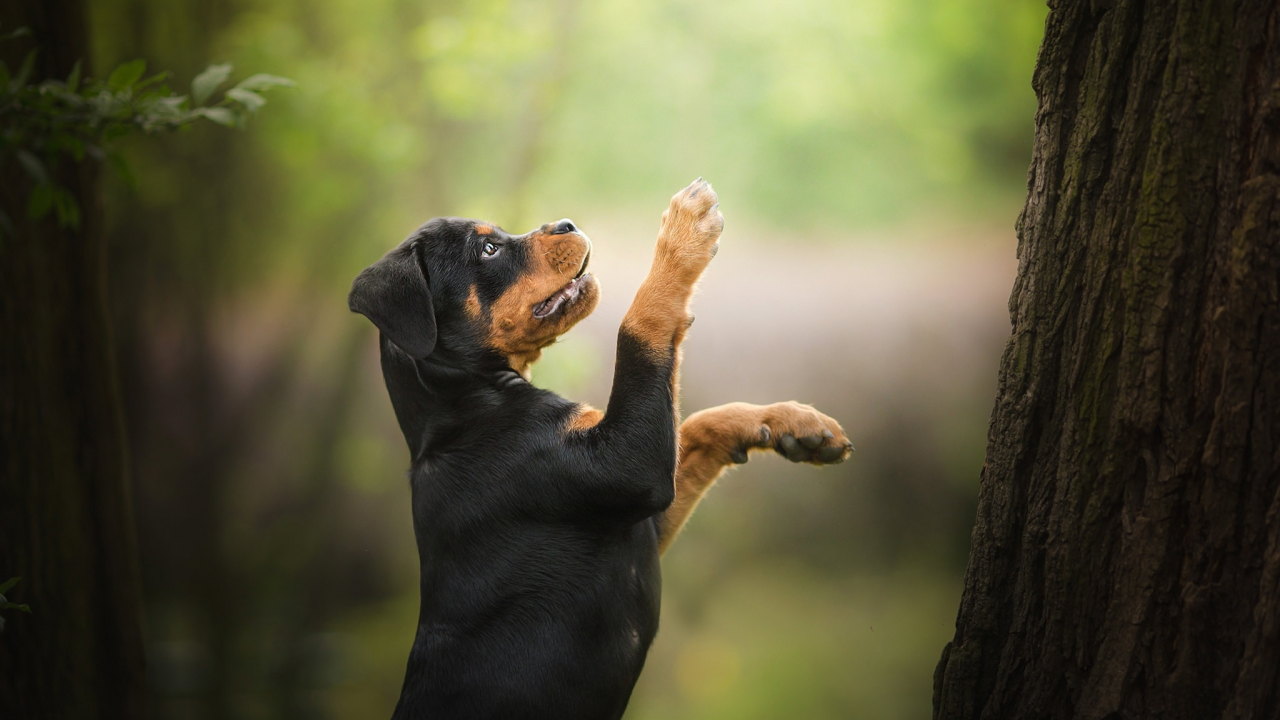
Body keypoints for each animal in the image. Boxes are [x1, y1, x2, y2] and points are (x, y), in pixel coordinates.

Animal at [348, 176, 849, 712]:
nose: (566, 223)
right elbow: (638, 329)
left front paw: (793, 423)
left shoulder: (640, 516)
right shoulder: (629, 468)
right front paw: (683, 231)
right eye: (488, 249)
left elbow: (697, 422)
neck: (466, 407)